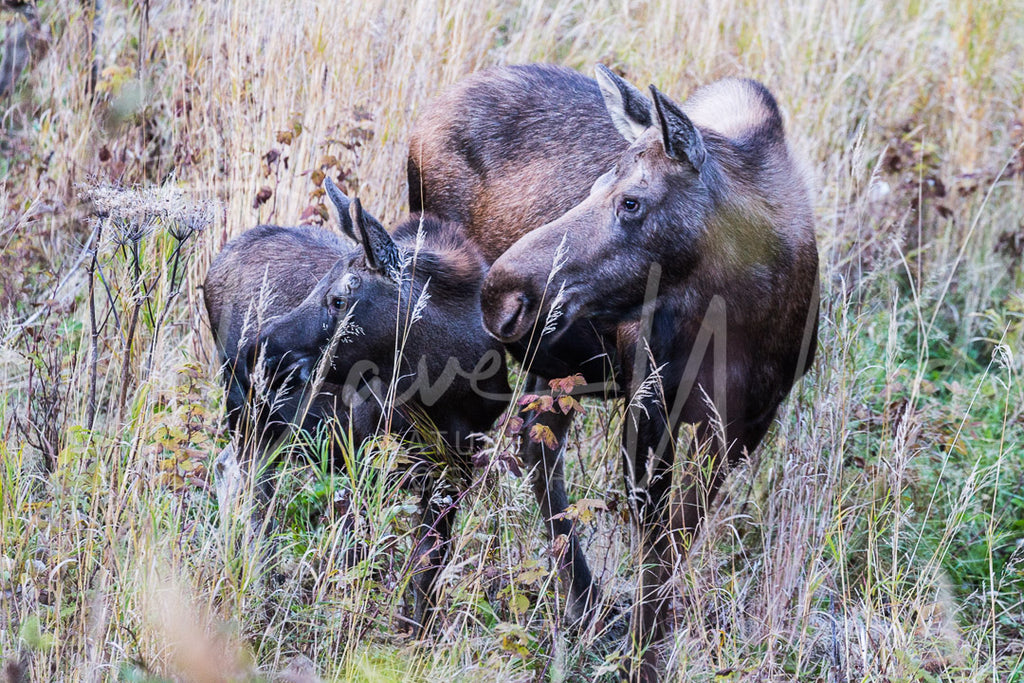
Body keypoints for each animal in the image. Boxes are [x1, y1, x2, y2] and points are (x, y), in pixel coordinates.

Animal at [205, 183, 509, 630]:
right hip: (250, 416)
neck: (447, 390)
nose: (256, 354)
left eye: (338, 299)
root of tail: (213, 269)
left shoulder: (455, 470)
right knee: (248, 494)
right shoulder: (360, 458)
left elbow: (427, 568)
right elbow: (357, 560)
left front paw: (417, 634)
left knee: (232, 475)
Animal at [407, 62, 815, 679]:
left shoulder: (741, 425)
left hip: (555, 367)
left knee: (533, 445)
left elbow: (674, 542)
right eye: (594, 185)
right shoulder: (649, 407)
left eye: (631, 202)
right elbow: (655, 543)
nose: (500, 294)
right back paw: (424, 614)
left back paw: (584, 604)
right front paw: (642, 660)